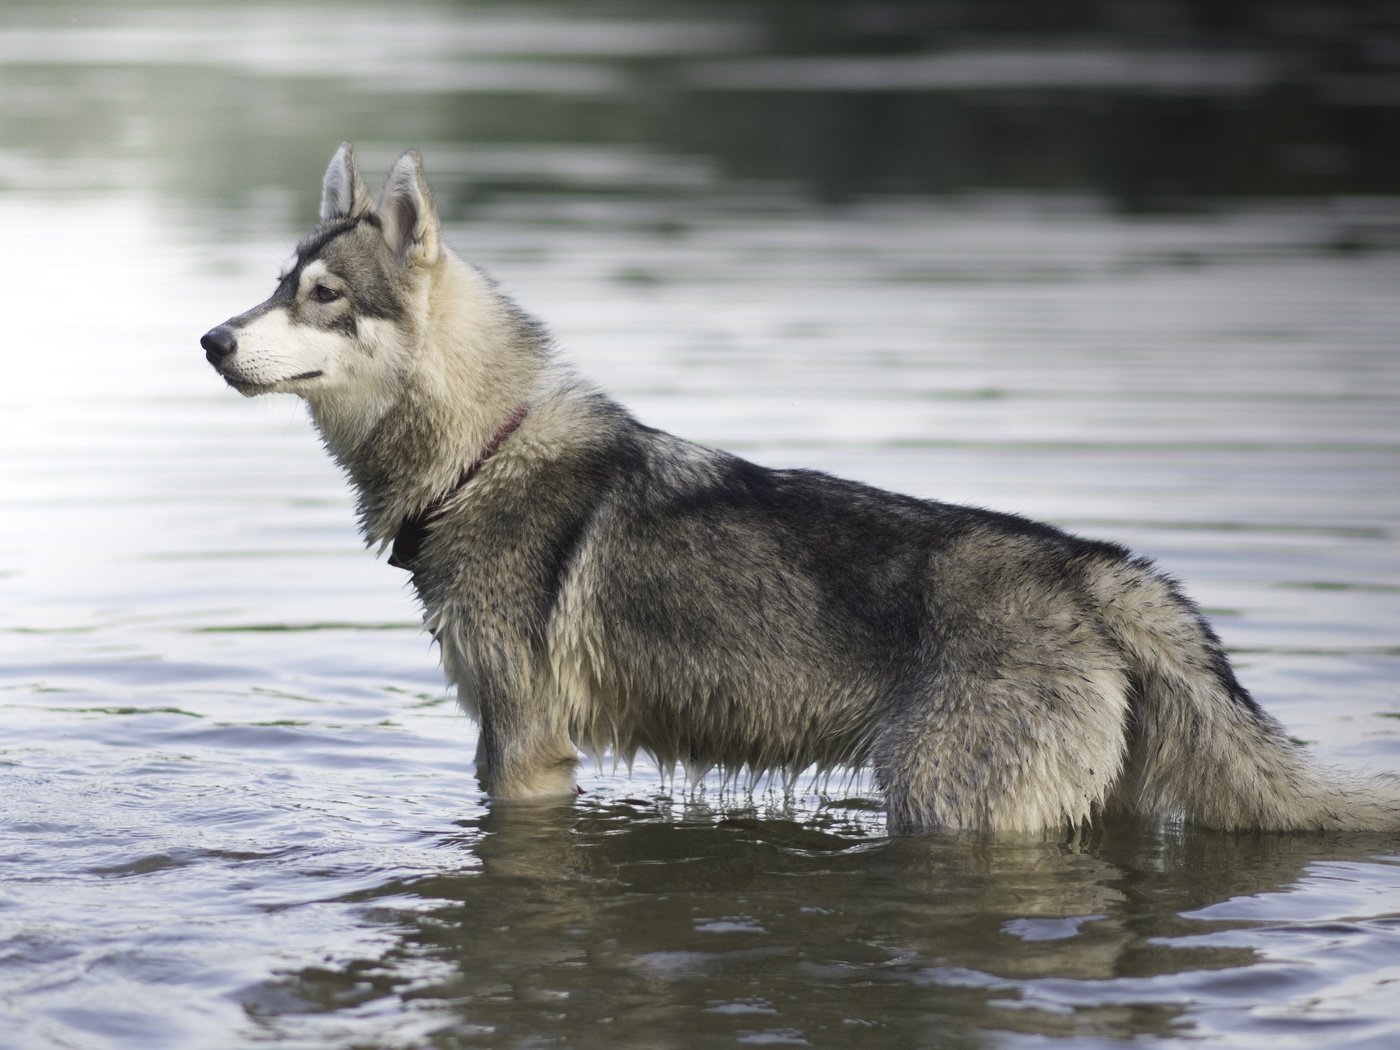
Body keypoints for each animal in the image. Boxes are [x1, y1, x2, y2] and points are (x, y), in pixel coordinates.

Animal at [200, 146, 1400, 840]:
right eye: (274, 285)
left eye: (322, 296)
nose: (210, 339)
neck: (478, 457)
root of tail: (1095, 569)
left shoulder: (527, 750)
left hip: (944, 812)